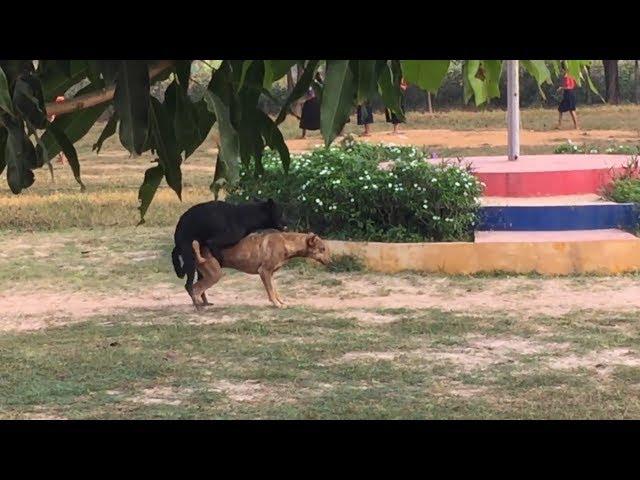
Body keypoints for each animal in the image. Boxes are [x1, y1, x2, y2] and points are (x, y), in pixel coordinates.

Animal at [190, 232, 330, 308]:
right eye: (322, 249)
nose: (331, 262)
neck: (286, 242)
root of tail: (199, 249)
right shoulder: (264, 272)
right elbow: (271, 292)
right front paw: (277, 304)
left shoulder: (271, 274)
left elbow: (275, 291)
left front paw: (280, 302)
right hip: (215, 275)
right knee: (195, 289)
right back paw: (199, 307)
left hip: (207, 275)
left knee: (196, 289)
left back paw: (202, 304)